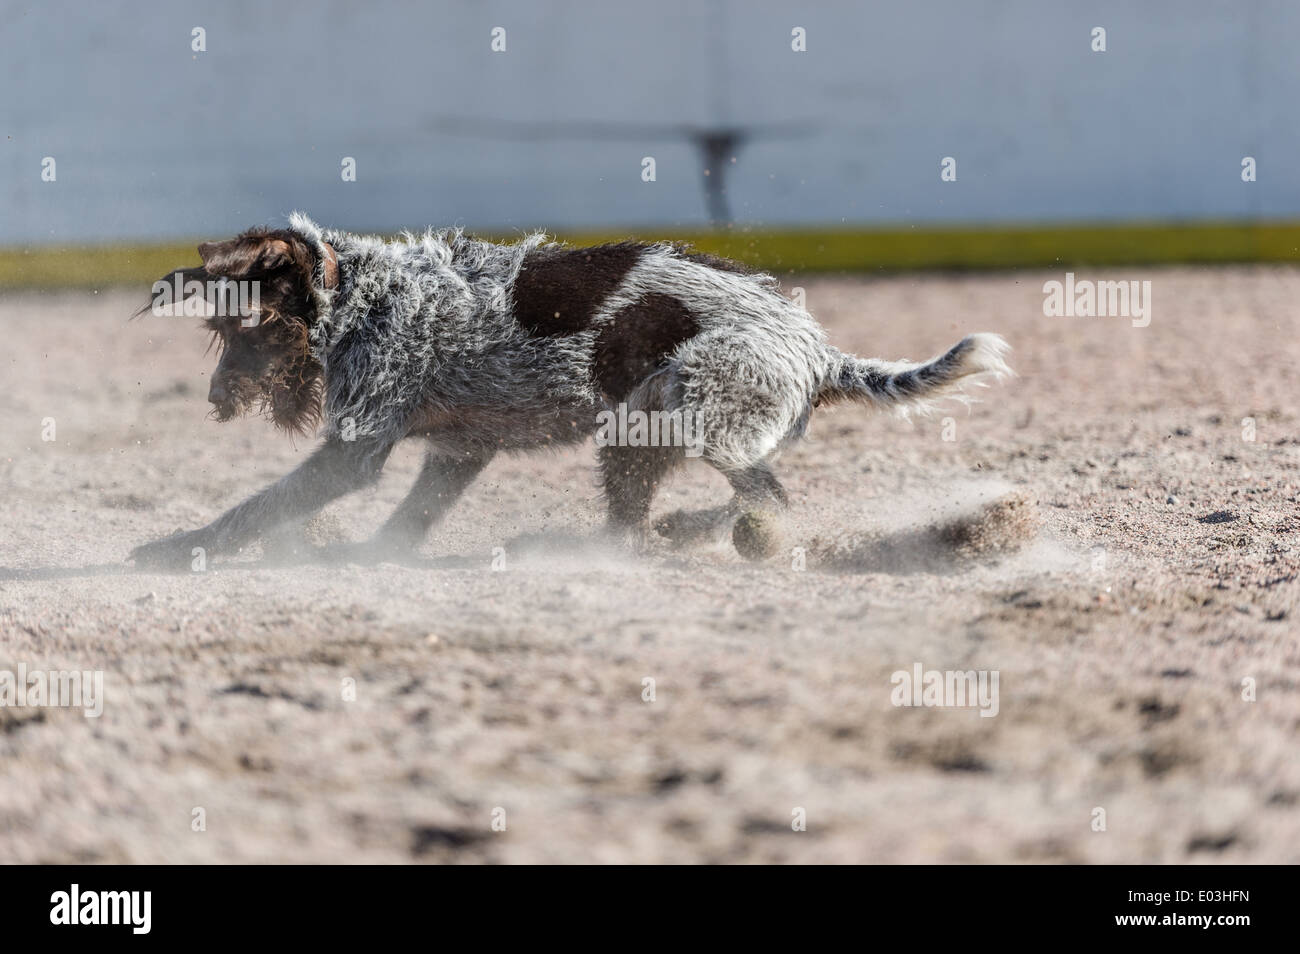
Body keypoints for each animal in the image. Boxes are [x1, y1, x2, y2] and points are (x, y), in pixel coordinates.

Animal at [126, 214, 1008, 566]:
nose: (214, 400)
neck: (367, 292)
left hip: (697, 407)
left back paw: (719, 530)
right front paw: (373, 555)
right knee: (641, 521)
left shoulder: (354, 450)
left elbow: (254, 508)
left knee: (770, 498)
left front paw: (180, 549)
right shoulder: (459, 450)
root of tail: (822, 351)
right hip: (637, 437)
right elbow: (411, 517)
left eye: (249, 329)